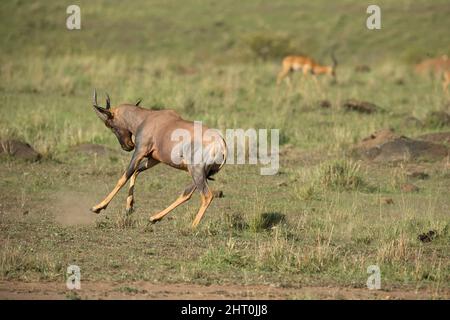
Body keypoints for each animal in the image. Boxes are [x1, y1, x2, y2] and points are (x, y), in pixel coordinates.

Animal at [89, 90, 227, 228]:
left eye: (110, 125)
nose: (127, 146)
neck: (148, 117)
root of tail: (221, 143)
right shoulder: (154, 159)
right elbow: (136, 172)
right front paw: (129, 207)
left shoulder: (139, 151)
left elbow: (124, 177)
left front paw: (98, 207)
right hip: (201, 173)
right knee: (186, 193)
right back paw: (155, 218)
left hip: (196, 171)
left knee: (207, 195)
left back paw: (191, 227)